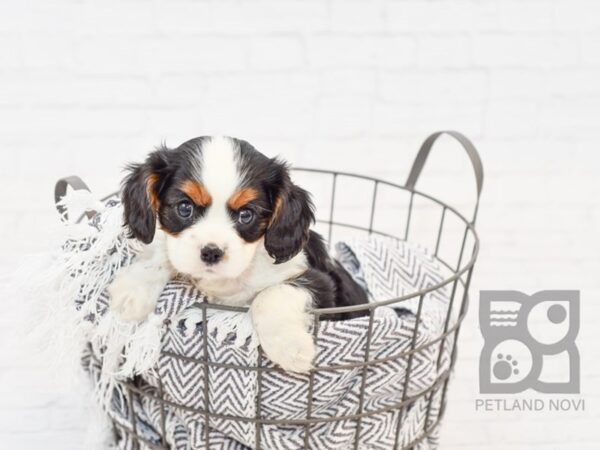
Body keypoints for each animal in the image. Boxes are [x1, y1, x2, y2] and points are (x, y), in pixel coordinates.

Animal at [109, 136, 368, 372]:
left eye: (246, 215)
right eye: (184, 207)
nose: (211, 252)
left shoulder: (322, 282)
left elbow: (271, 294)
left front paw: (289, 347)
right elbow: (163, 252)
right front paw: (133, 288)